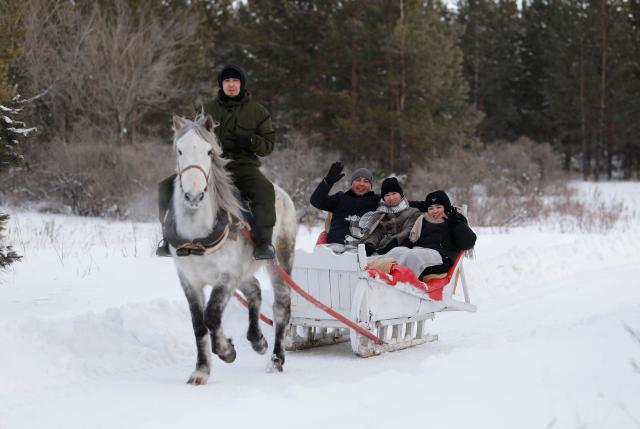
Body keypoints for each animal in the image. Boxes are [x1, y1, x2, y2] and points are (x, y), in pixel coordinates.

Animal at [167, 113, 297, 385]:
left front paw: (227, 351)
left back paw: (276, 359)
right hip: (243, 272)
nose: (193, 195)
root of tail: (282, 193)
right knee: (254, 290)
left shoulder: (226, 276)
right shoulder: (189, 280)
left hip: (280, 261)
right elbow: (199, 324)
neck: (197, 235)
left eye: (209, 151)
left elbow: (212, 315)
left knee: (281, 308)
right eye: (180, 150)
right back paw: (257, 340)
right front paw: (201, 370)